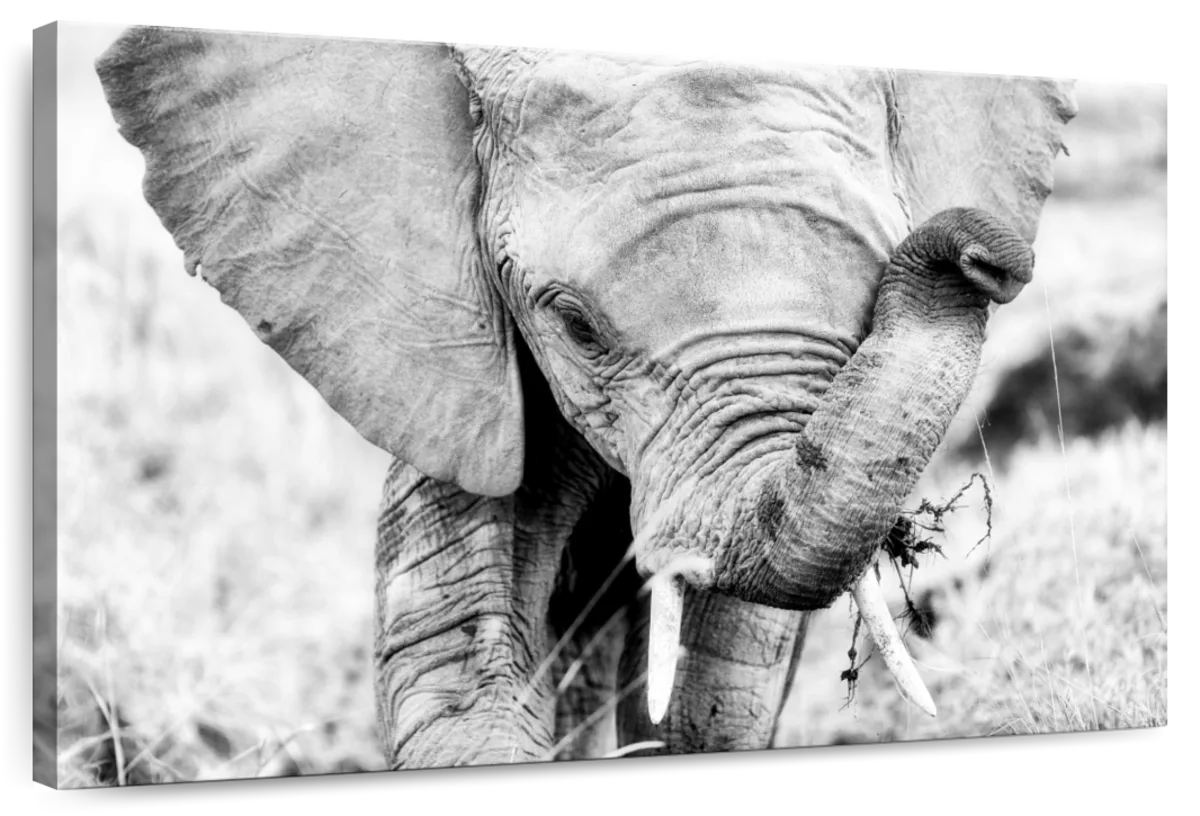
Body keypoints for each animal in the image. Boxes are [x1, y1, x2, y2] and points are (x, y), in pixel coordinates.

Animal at [95, 28, 1076, 768]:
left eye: (872, 301)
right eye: (573, 326)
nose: (981, 254)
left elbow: (719, 690)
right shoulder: (454, 369)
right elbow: (460, 677)